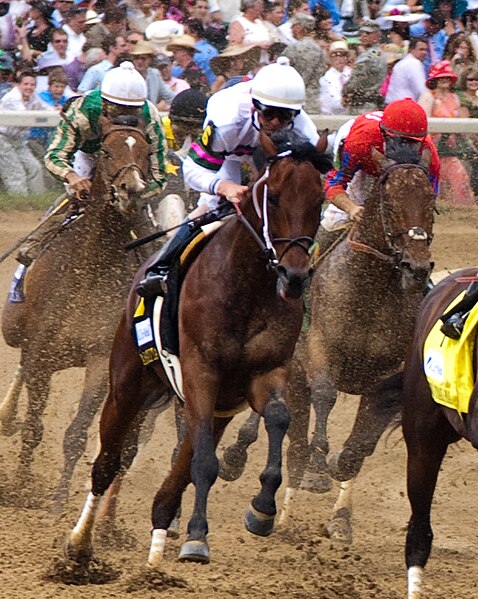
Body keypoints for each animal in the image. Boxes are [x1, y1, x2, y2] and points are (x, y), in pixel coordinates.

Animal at [0, 117, 164, 510]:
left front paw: (59, 500)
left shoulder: (98, 358)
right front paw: (20, 488)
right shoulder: (41, 352)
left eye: (146, 152)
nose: (131, 190)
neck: (90, 270)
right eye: (105, 150)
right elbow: (34, 426)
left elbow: (76, 433)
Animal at [64, 129, 332, 568]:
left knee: (177, 474)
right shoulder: (201, 372)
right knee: (106, 462)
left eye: (318, 198)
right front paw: (197, 539)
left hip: (211, 404)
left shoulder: (264, 373)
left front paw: (261, 509)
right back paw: (80, 542)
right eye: (273, 196)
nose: (294, 276)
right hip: (128, 384)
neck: (247, 288)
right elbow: (204, 462)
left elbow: (276, 419)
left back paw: (157, 547)